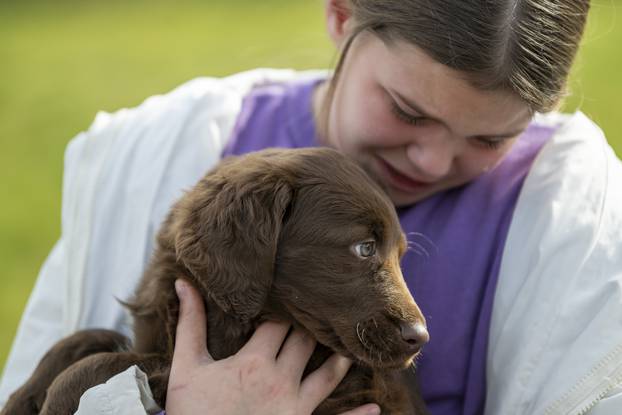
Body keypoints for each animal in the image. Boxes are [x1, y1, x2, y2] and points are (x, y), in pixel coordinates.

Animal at [3, 148, 428, 414]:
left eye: (399, 254)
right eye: (364, 248)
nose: (419, 338)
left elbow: (105, 362)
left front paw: (55, 402)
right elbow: (88, 338)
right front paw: (21, 398)